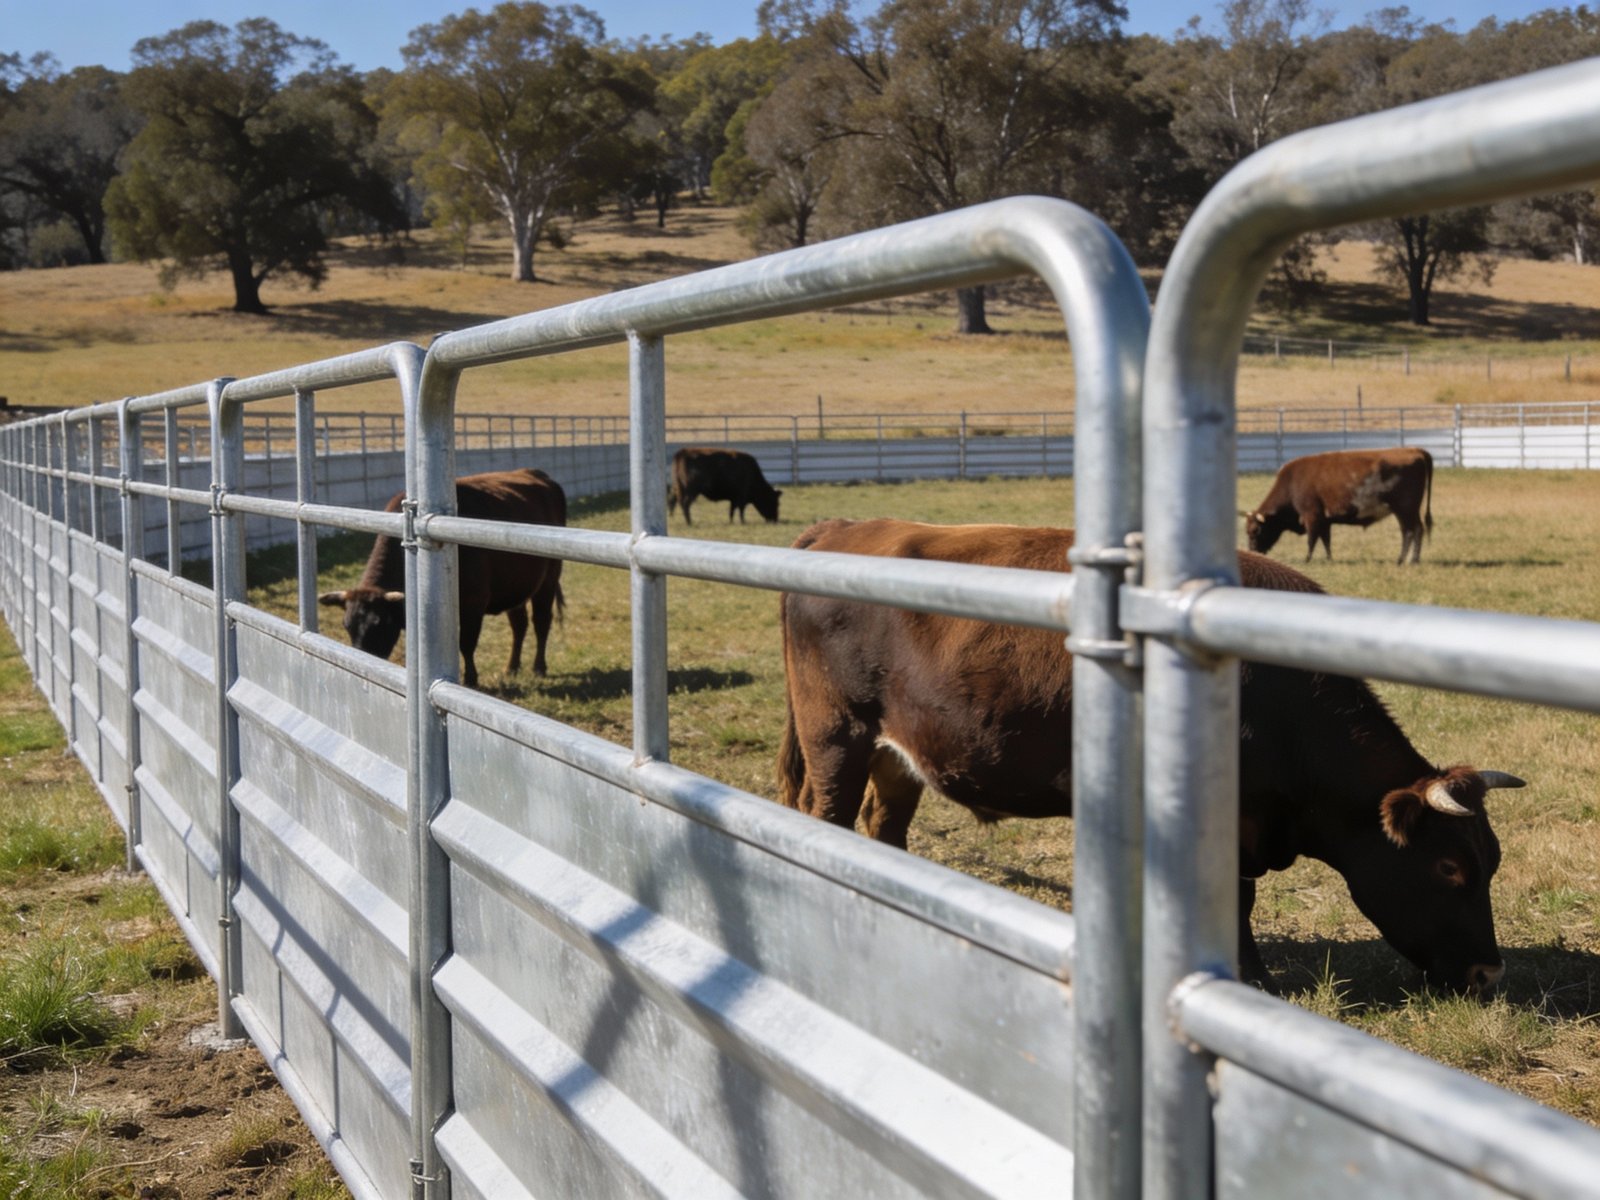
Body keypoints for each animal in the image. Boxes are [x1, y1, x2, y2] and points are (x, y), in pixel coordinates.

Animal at [319, 467, 566, 689]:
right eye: (347, 626)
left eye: (379, 624)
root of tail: (538, 474)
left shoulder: (473, 604)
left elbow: (467, 644)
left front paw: (470, 680)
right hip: (516, 586)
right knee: (519, 625)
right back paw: (512, 667)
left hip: (549, 578)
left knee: (541, 622)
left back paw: (539, 667)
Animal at [777, 518, 1524, 995]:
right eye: (1450, 867)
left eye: (1492, 861)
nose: (1489, 974)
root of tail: (842, 529)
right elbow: (1238, 902)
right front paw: (1254, 979)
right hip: (836, 737)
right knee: (826, 812)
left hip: (896, 756)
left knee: (884, 826)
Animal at [1244, 446, 1434, 565]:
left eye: (1256, 530)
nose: (1253, 551)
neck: (1291, 483)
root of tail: (1414, 450)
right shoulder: (1324, 520)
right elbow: (1326, 541)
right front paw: (1329, 559)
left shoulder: (1311, 516)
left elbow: (1312, 540)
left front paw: (1307, 560)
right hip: (1402, 512)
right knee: (1407, 532)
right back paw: (1401, 560)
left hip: (1406, 509)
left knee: (1415, 530)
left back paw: (1413, 560)